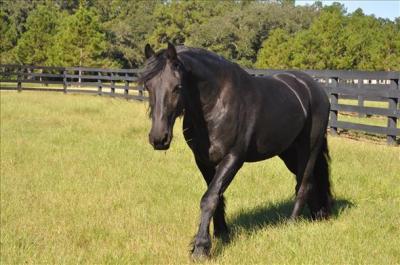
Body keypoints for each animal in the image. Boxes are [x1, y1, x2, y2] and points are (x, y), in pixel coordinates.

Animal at [139, 42, 332, 258]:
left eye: (177, 87)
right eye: (148, 86)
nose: (159, 138)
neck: (217, 101)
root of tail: (314, 88)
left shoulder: (233, 159)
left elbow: (209, 198)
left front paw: (201, 248)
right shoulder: (203, 160)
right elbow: (216, 197)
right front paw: (221, 233)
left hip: (309, 149)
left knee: (303, 184)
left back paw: (291, 224)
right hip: (289, 152)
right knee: (311, 182)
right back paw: (317, 216)